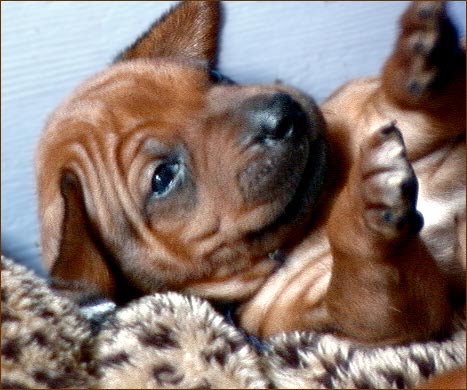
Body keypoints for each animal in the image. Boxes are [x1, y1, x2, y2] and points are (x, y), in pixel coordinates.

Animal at [38, 1, 466, 346]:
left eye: (216, 78)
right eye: (163, 178)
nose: (283, 116)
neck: (317, 213)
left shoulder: (372, 112)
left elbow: (412, 107)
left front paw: (423, 64)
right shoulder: (376, 316)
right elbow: (373, 281)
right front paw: (368, 209)